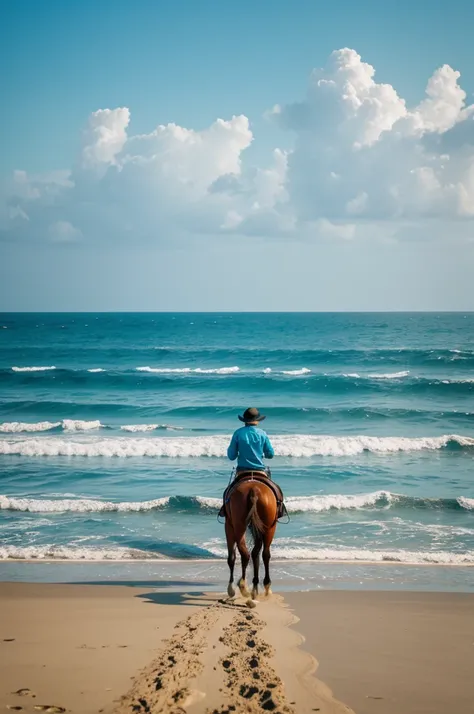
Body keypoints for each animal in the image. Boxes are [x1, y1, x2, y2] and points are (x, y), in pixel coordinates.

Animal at [223, 476, 276, 604]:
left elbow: (231, 557)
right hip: (269, 527)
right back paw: (259, 586)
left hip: (239, 525)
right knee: (262, 554)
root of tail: (254, 489)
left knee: (246, 553)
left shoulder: (229, 525)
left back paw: (243, 586)